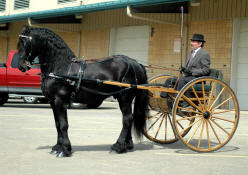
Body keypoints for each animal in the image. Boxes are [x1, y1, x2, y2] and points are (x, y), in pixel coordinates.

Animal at [17, 26, 149, 157]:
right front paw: (57, 147)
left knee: (127, 119)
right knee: (128, 119)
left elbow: (63, 124)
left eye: (25, 43)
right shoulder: (52, 101)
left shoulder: (60, 100)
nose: (21, 66)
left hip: (125, 97)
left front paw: (65, 149)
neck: (60, 67)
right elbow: (57, 124)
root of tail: (135, 63)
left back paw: (118, 146)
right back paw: (127, 145)